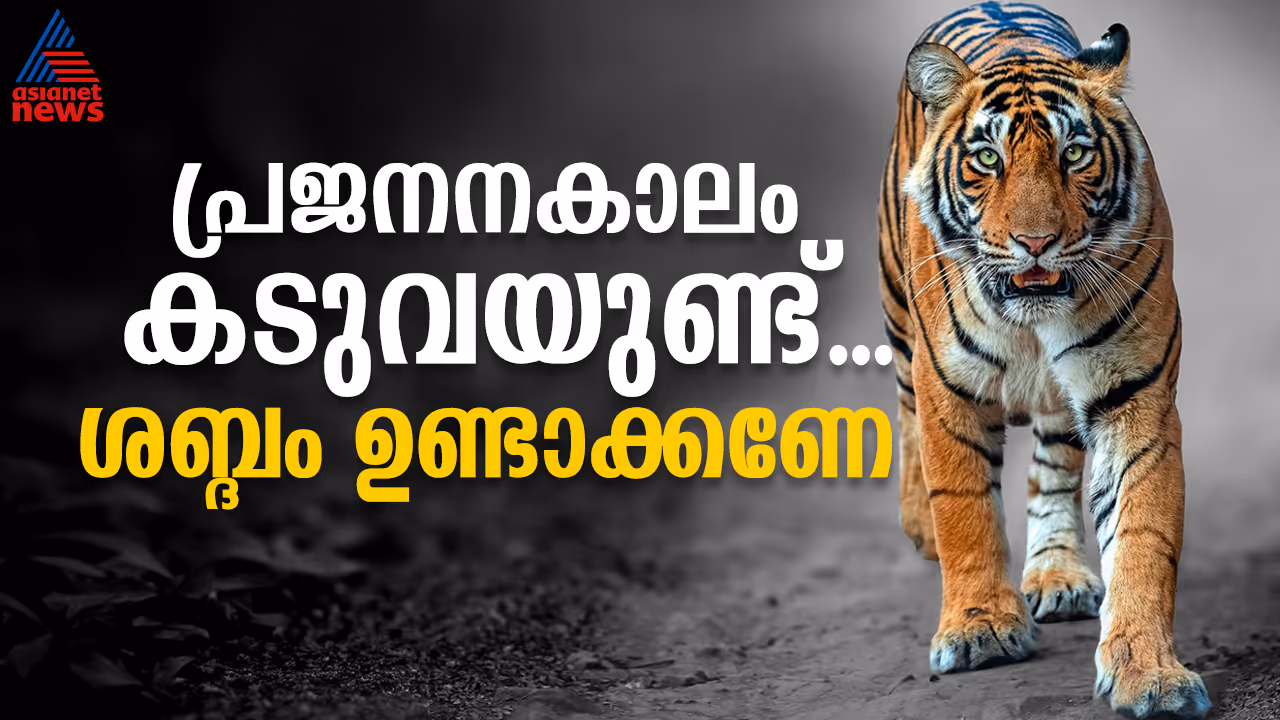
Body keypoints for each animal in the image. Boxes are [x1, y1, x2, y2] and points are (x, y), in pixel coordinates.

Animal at [877, 3, 1208, 718]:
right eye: (986, 159)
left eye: (1074, 154)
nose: (1036, 242)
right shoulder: (948, 389)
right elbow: (964, 506)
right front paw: (979, 629)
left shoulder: (1134, 397)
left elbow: (1142, 537)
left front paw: (1151, 673)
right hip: (896, 309)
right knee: (905, 411)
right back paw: (919, 525)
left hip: (1064, 400)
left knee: (1051, 472)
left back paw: (1058, 575)